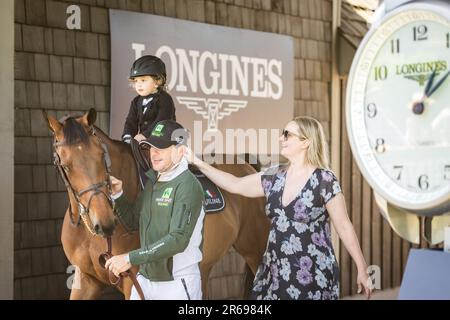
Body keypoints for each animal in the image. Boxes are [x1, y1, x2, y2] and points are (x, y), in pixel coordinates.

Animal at [44, 109, 270, 298]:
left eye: (101, 156)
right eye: (66, 165)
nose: (105, 223)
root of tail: (250, 169)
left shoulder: (132, 282)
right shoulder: (86, 279)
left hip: (256, 252)